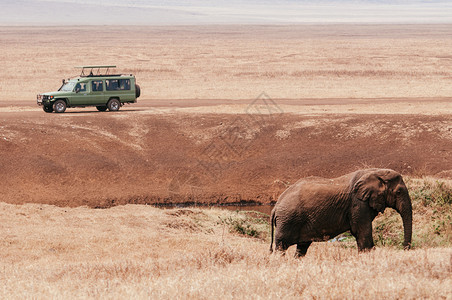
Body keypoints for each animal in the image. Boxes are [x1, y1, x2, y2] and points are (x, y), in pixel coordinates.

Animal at [270, 168, 412, 256]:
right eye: (399, 192)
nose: (404, 249)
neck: (376, 172)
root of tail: (275, 207)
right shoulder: (358, 203)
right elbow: (362, 232)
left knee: (302, 248)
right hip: (288, 219)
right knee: (281, 247)